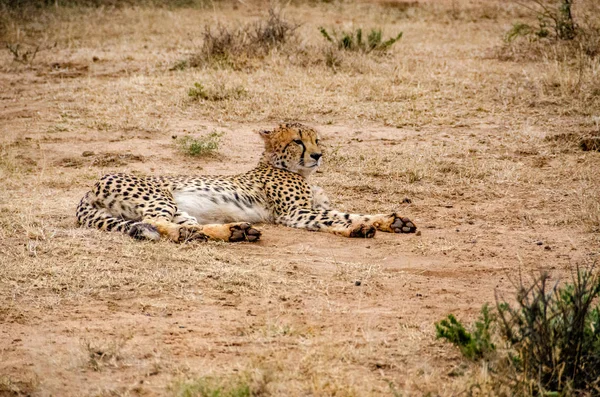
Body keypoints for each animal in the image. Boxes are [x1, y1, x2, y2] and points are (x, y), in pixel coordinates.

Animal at [77, 123, 418, 241]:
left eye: (317, 139)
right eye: (298, 141)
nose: (318, 155)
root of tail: (90, 186)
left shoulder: (314, 206)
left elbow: (351, 211)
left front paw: (392, 221)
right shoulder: (294, 213)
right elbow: (333, 219)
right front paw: (358, 228)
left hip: (180, 209)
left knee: (185, 227)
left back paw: (234, 232)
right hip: (160, 199)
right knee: (155, 224)